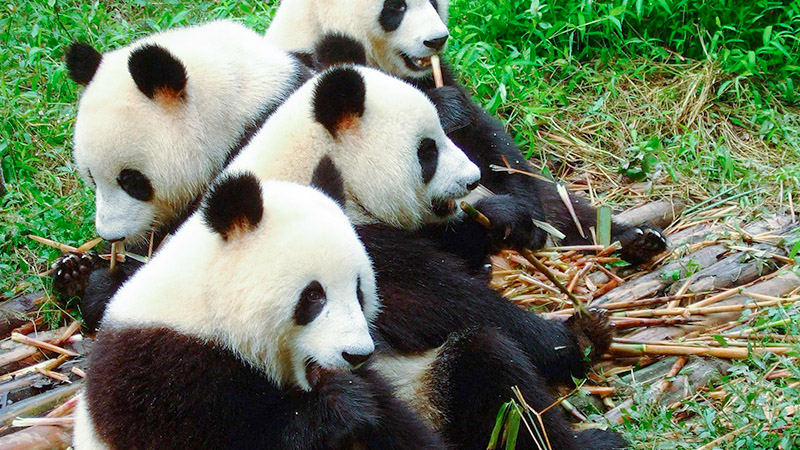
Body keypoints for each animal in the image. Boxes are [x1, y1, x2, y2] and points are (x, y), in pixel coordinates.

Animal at [265, 0, 668, 267]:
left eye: (433, 0)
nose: (436, 40)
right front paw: (506, 221)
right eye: (395, 7)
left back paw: (632, 240)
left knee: (561, 204)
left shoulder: (436, 75)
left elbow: (489, 141)